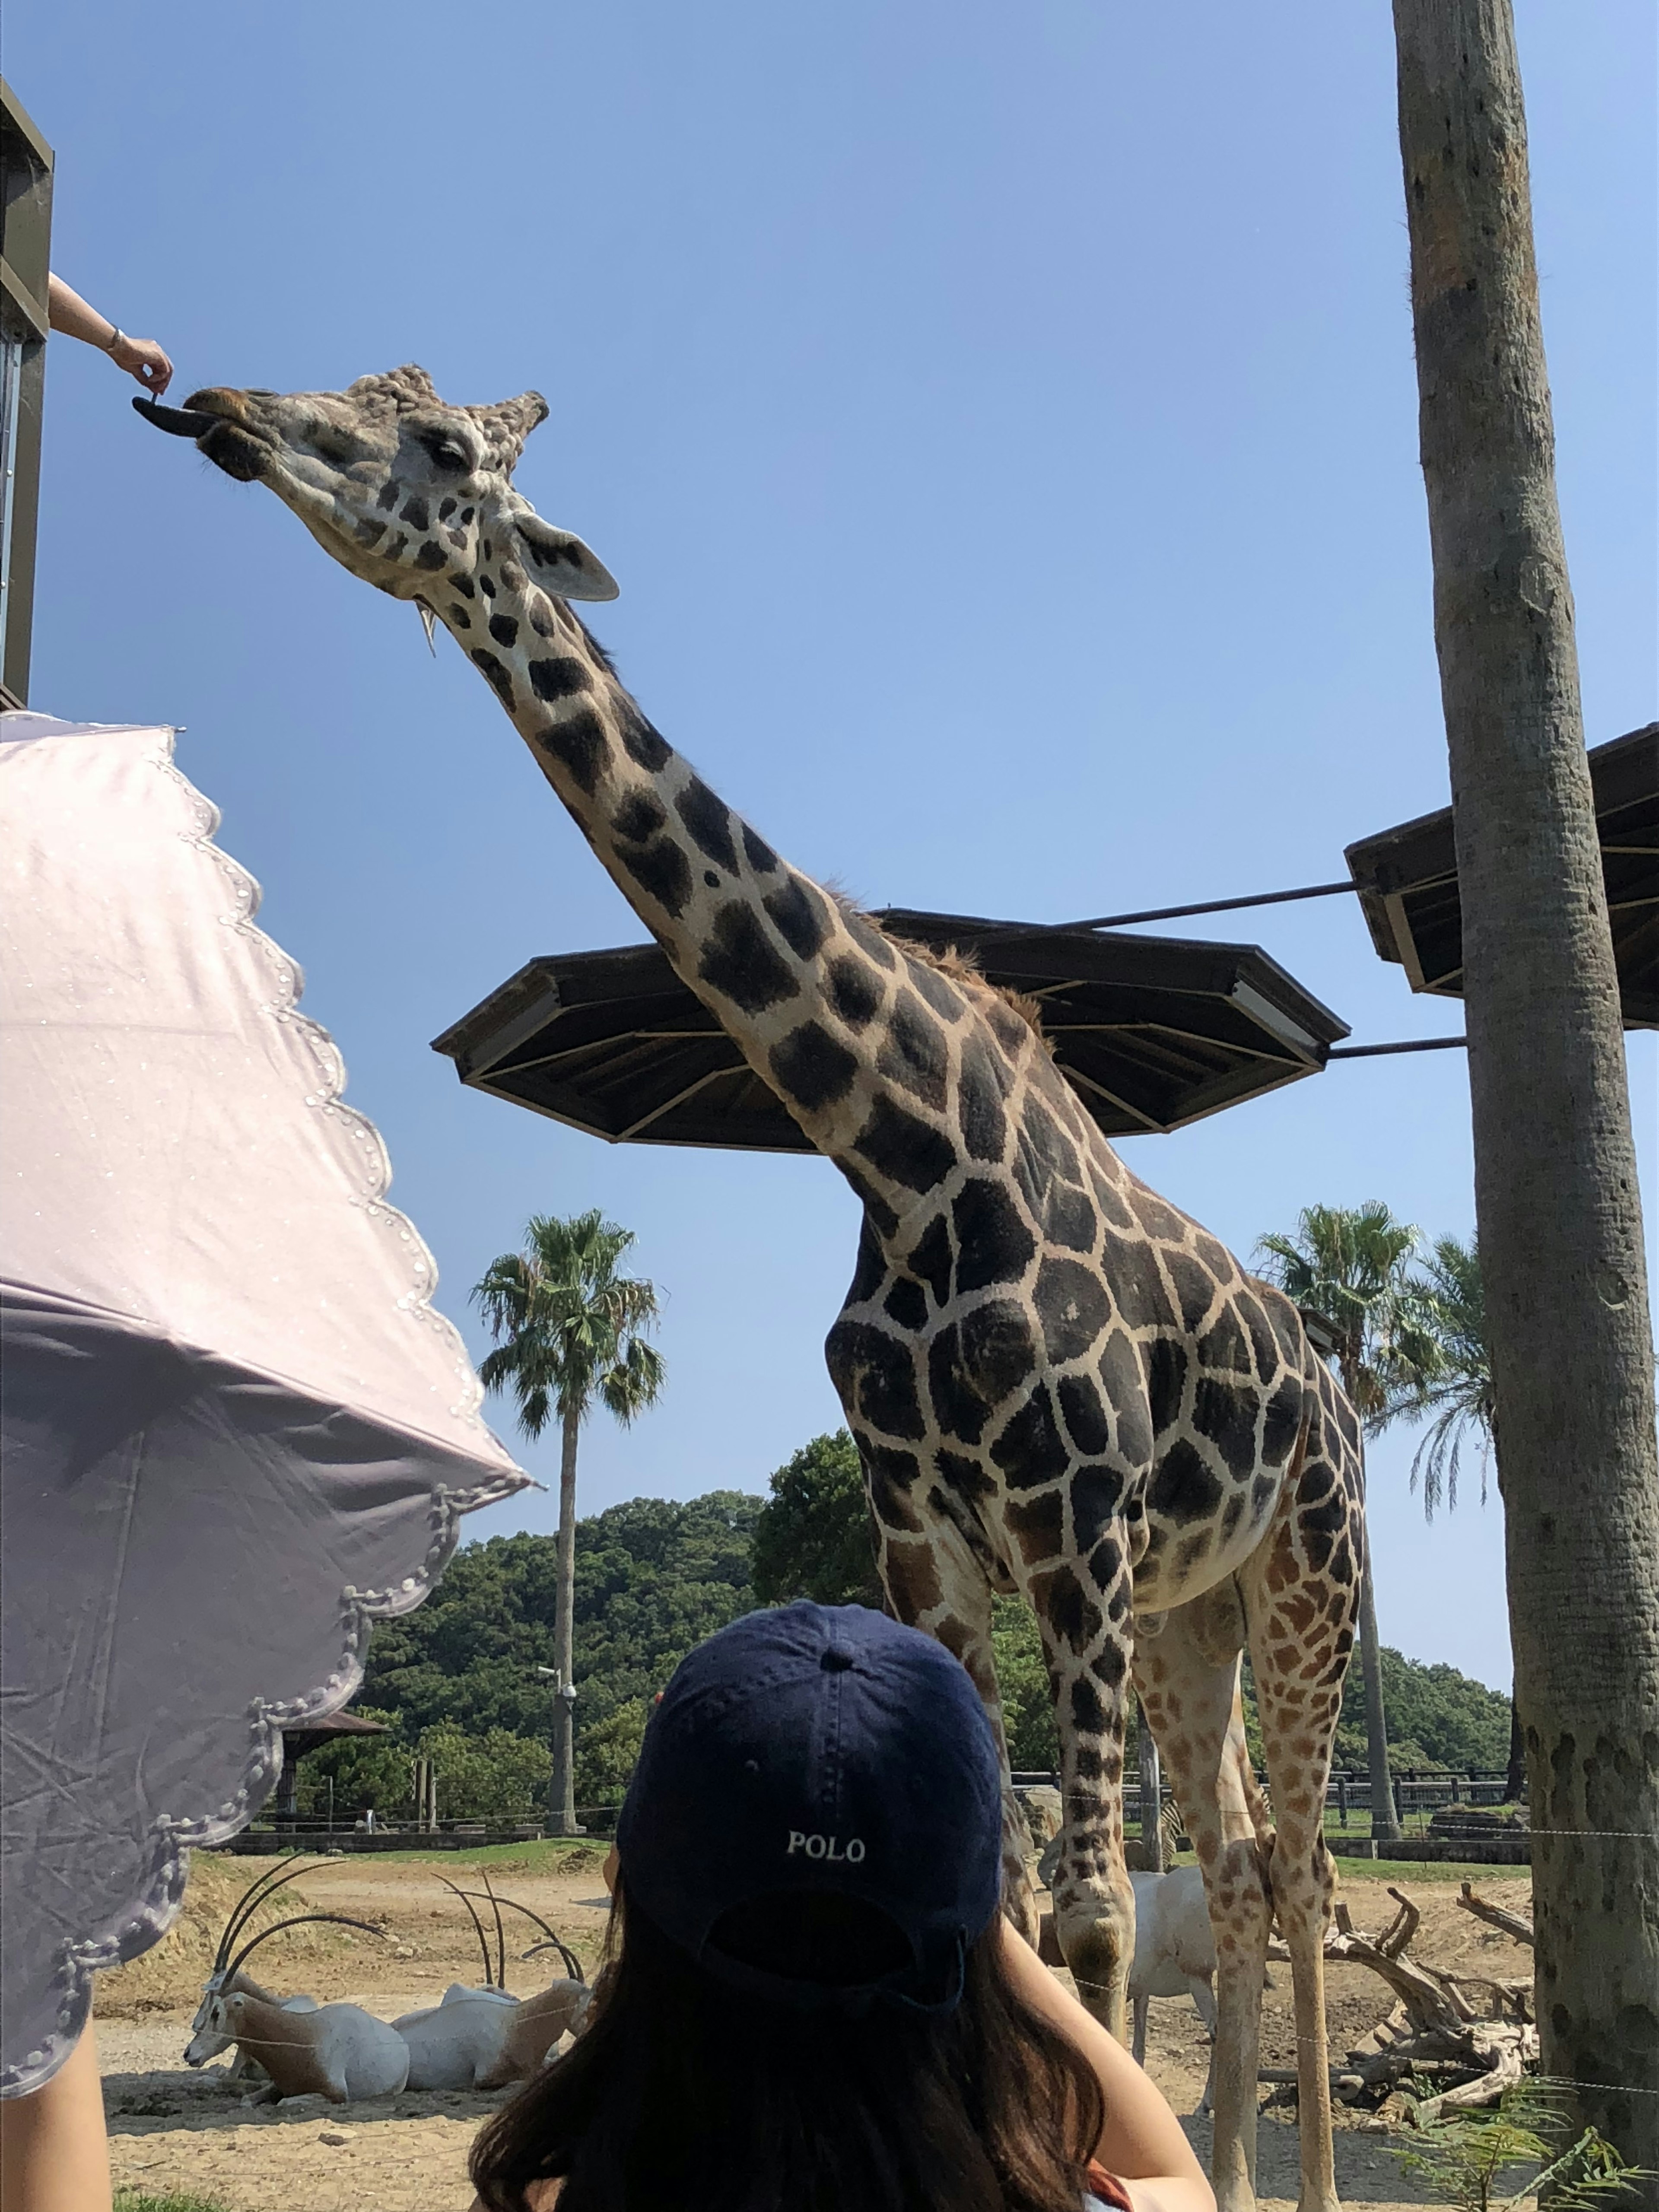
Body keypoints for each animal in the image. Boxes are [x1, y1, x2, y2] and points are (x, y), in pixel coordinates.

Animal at [143, 372, 1362, 2203]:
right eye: (374, 390)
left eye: (442, 447)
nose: (222, 408)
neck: (909, 1157)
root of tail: (1337, 1379)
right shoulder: (930, 1536)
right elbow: (1012, 1904)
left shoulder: (1072, 1517)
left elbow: (1084, 1915)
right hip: (1186, 1609)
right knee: (1226, 1861)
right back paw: (1223, 2159)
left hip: (1304, 1588)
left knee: (1301, 1866)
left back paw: (1307, 2177)